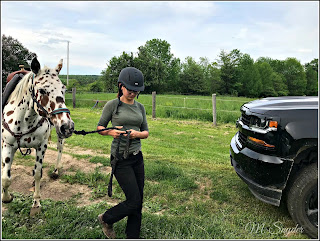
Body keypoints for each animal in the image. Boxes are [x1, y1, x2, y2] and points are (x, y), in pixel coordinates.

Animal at [1, 57, 74, 216]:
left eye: (63, 89)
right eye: (41, 90)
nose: (68, 126)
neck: (24, 120)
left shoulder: (41, 146)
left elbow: (38, 174)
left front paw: (36, 204)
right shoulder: (7, 145)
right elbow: (6, 178)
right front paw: (6, 197)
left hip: (58, 135)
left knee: (59, 149)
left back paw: (55, 171)